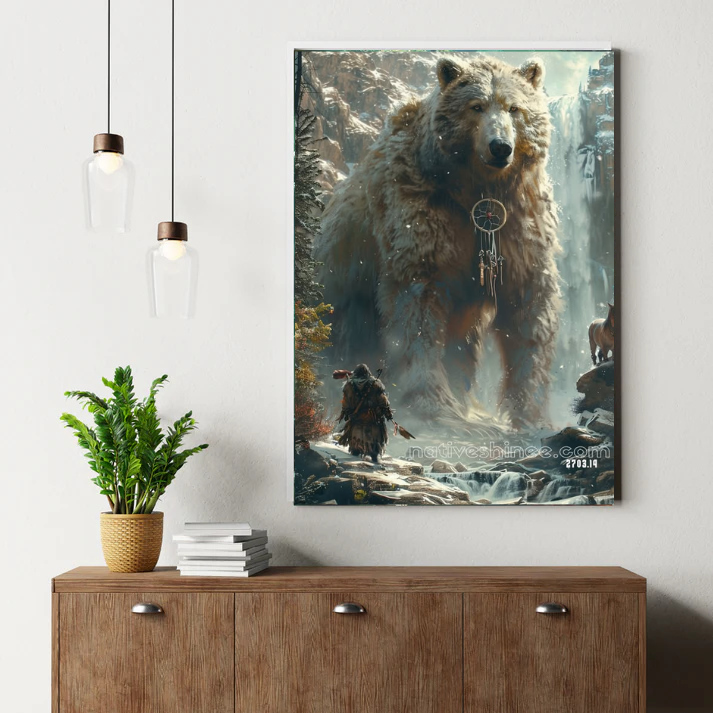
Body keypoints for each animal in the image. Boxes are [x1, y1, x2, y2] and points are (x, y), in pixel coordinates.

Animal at [315, 54, 561, 431]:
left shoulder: (518, 222)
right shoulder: (419, 208)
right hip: (343, 290)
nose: (500, 147)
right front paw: (433, 403)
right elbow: (418, 308)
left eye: (514, 107)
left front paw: (532, 414)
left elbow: (528, 308)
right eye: (476, 106)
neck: (473, 188)